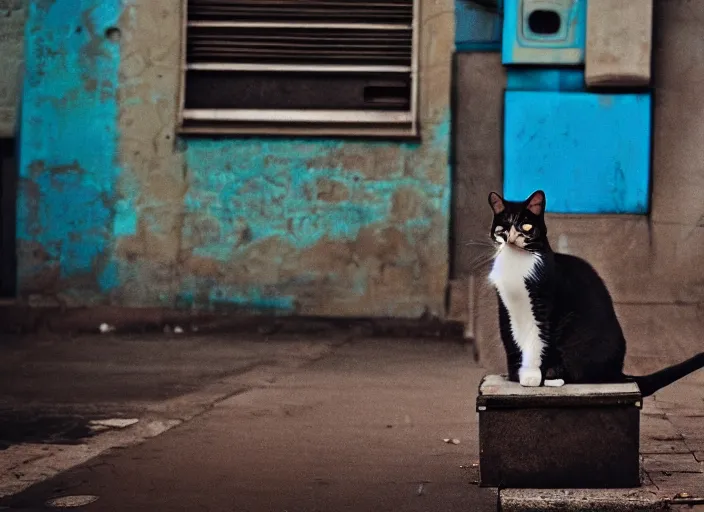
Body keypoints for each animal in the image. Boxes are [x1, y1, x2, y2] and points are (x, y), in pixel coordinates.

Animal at [490, 190, 704, 394]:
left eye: (525, 227)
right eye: (503, 227)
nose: (511, 238)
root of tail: (618, 372)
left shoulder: (544, 307)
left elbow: (538, 340)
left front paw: (532, 376)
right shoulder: (505, 309)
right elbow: (510, 341)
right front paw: (516, 375)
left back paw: (553, 375)